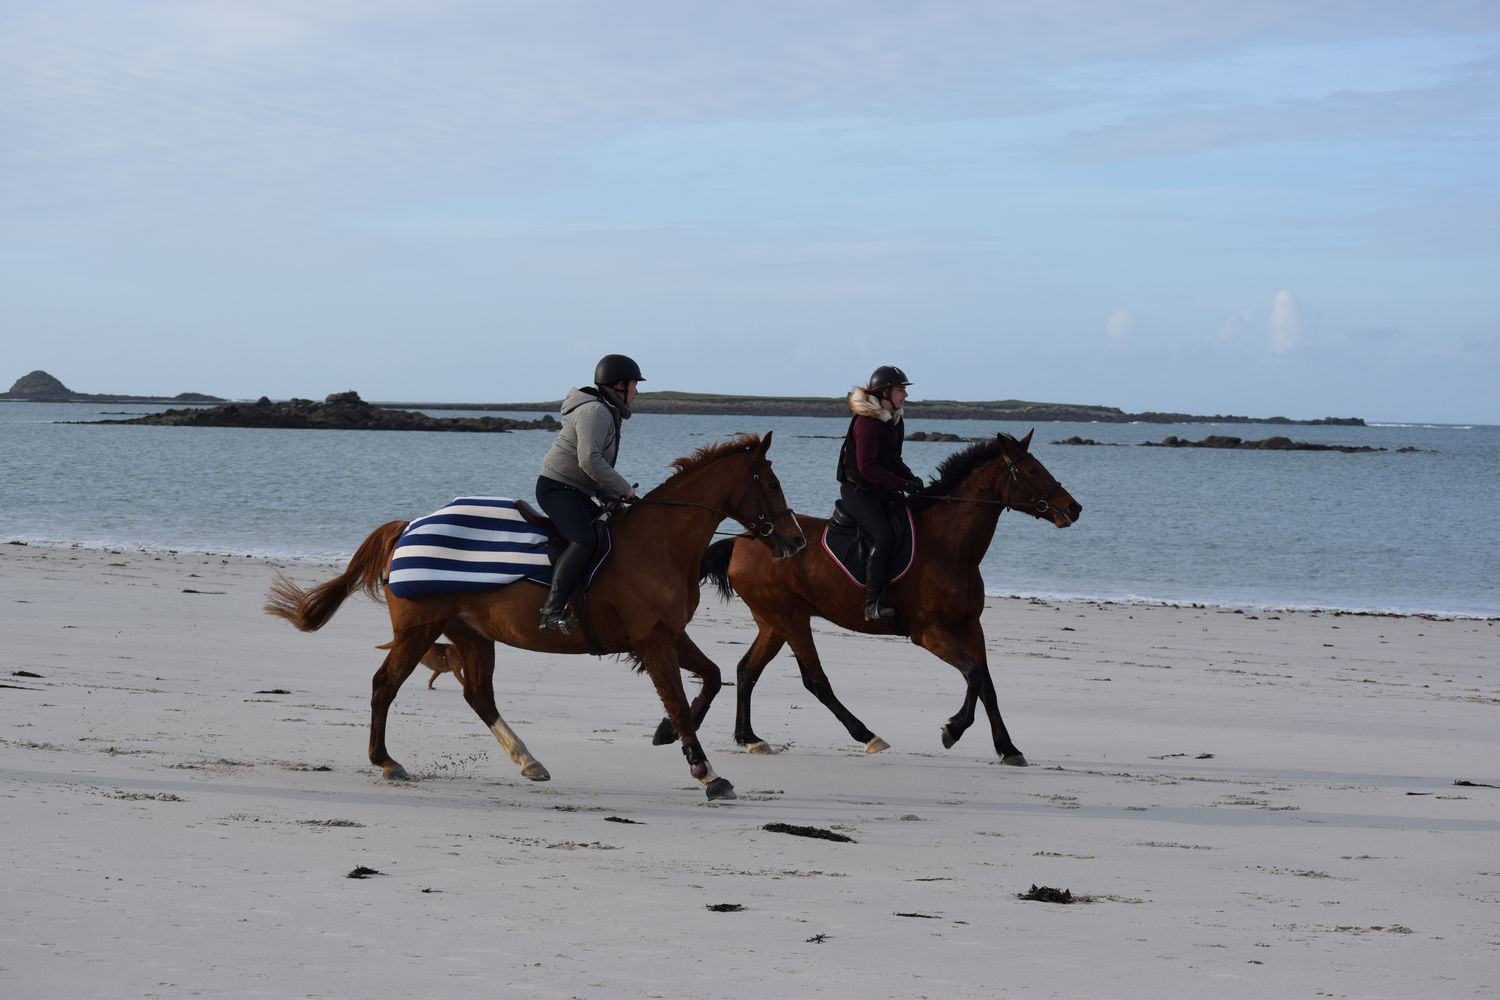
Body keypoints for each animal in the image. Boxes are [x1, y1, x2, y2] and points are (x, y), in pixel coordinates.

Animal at [270, 434, 810, 803]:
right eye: (772, 483)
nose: (797, 540)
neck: (659, 540)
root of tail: (408, 527)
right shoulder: (653, 638)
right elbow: (678, 700)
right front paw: (706, 772)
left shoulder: (669, 634)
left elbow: (711, 678)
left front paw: (666, 735)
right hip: (418, 631)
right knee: (385, 685)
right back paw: (386, 762)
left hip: (470, 634)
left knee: (478, 694)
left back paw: (528, 761)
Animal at [678, 431, 1080, 767]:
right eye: (1032, 469)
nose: (1074, 508)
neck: (950, 546)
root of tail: (742, 540)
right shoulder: (927, 632)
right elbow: (974, 673)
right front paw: (953, 729)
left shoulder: (969, 626)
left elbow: (987, 684)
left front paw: (1008, 748)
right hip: (790, 618)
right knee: (815, 680)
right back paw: (867, 735)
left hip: (773, 622)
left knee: (747, 670)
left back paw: (750, 738)